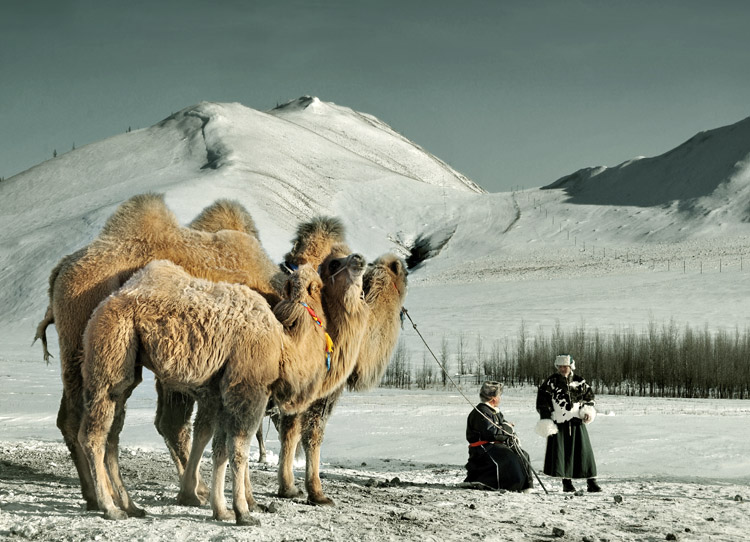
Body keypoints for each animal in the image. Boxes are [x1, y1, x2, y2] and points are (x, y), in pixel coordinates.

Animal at [78, 264, 334, 528]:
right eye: (320, 287)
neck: (284, 346)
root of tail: (106, 303)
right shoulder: (248, 389)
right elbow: (239, 448)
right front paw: (243, 513)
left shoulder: (220, 395)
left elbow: (220, 450)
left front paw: (221, 511)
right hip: (110, 346)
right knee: (93, 435)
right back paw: (109, 508)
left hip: (126, 369)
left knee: (113, 434)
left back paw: (131, 506)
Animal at [276, 253, 408, 508]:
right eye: (335, 263)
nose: (359, 258)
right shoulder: (323, 394)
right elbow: (312, 436)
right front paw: (317, 493)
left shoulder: (298, 400)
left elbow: (291, 432)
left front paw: (288, 488)